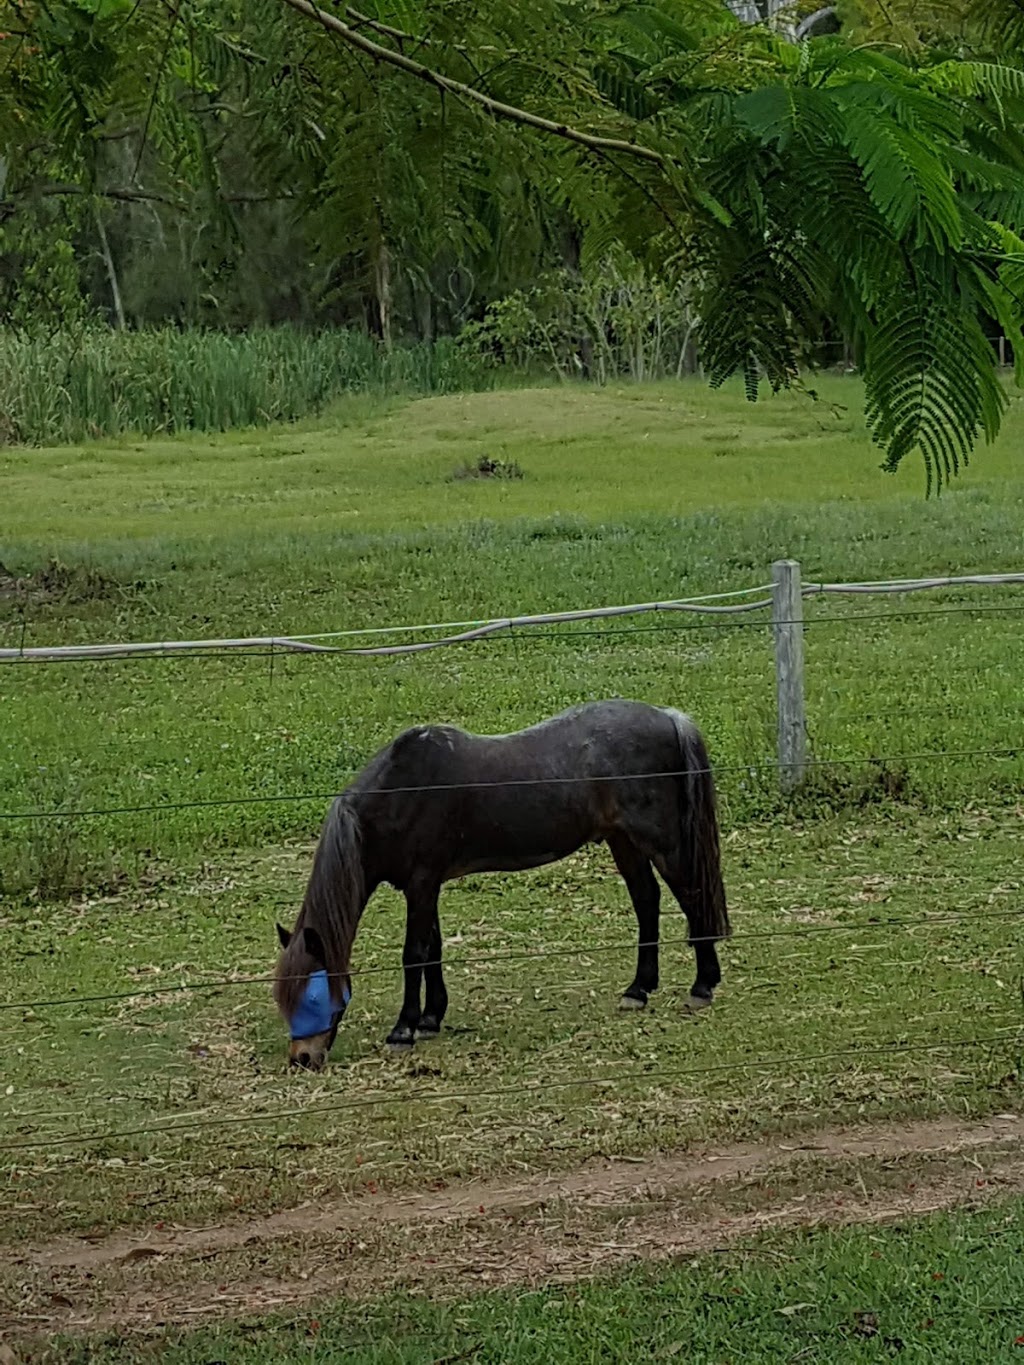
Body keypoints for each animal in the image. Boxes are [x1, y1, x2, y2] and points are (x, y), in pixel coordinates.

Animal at [273, 698, 731, 1070]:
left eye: (312, 996)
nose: (302, 1058)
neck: (399, 793)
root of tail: (669, 717)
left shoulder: (421, 883)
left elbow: (414, 954)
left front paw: (403, 1029)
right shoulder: (428, 886)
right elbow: (433, 949)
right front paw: (431, 1018)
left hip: (660, 841)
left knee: (691, 897)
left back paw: (702, 986)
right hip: (624, 841)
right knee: (646, 900)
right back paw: (638, 990)